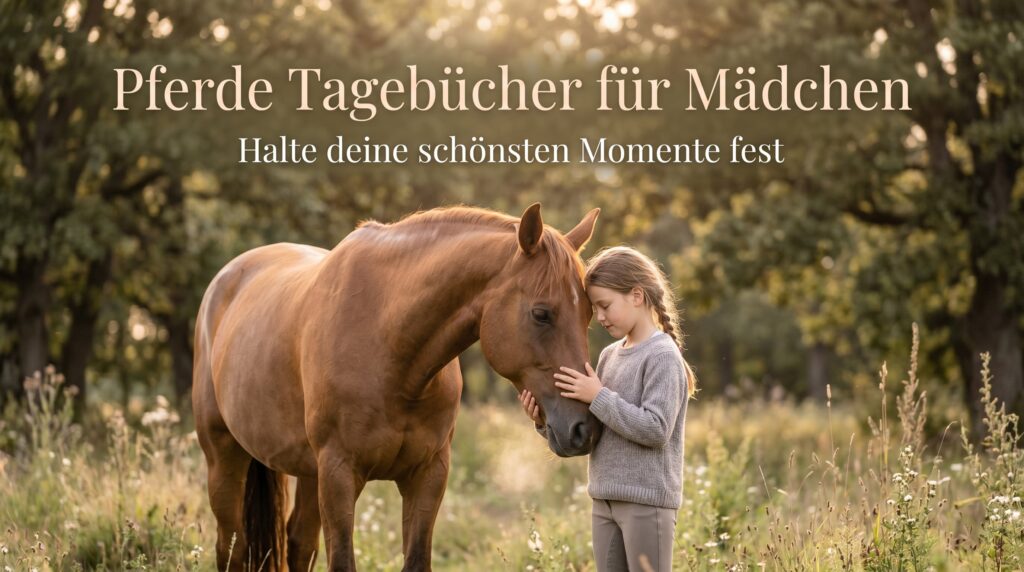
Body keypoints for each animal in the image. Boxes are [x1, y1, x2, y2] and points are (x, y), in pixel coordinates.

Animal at [192, 203, 602, 571]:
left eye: (589, 313)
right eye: (541, 314)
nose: (583, 429)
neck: (390, 348)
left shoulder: (428, 474)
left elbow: (416, 559)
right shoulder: (339, 474)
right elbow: (343, 561)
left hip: (309, 473)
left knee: (298, 545)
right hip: (225, 460)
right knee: (231, 548)